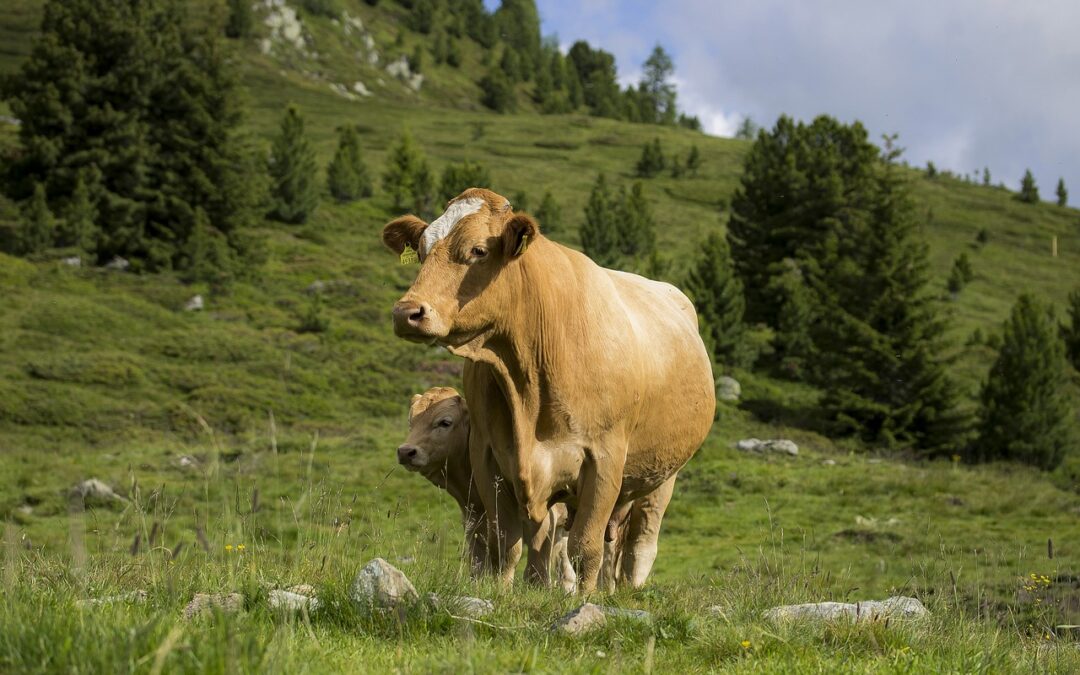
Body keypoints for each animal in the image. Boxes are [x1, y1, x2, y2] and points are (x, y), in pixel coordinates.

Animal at [384, 187, 712, 587]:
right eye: (420, 251)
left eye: (478, 250)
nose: (407, 312)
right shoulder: (490, 458)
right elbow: (508, 547)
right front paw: (507, 592)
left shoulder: (604, 459)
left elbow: (584, 548)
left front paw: (582, 599)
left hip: (663, 476)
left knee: (639, 548)